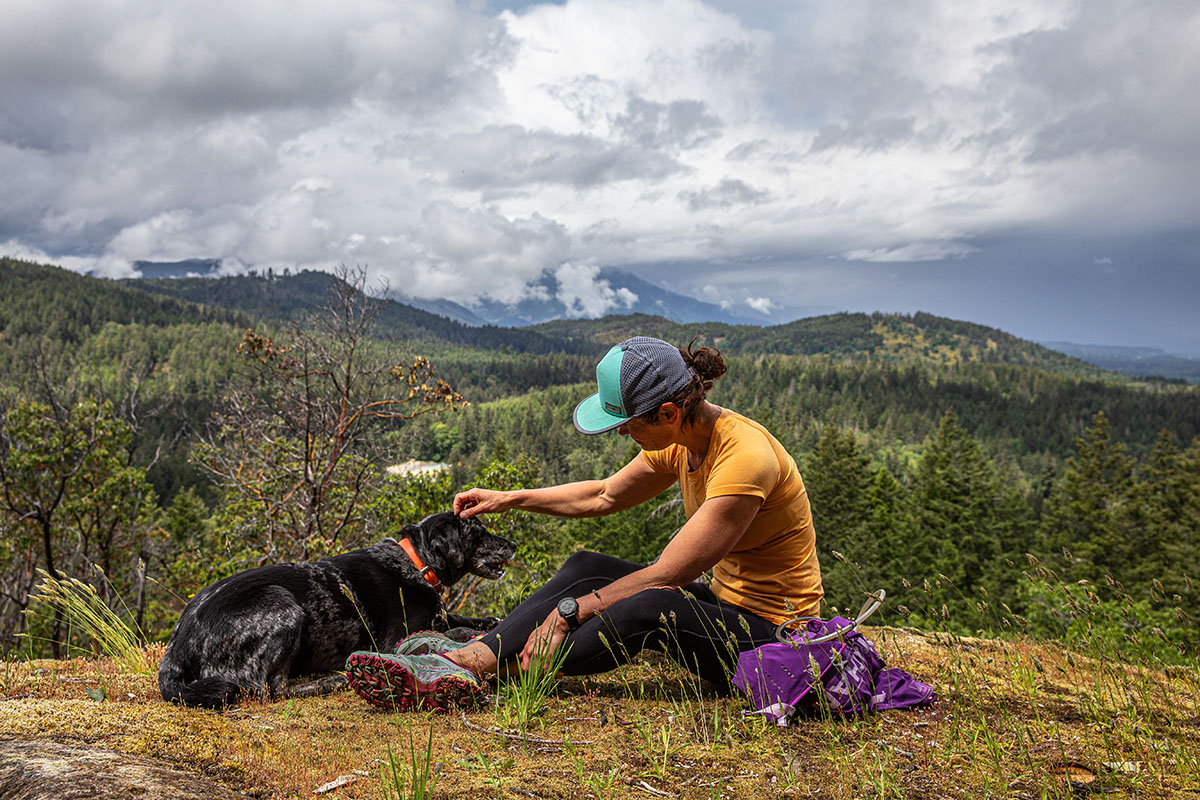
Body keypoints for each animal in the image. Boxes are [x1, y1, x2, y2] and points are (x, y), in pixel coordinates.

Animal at [159, 513, 516, 705]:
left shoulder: (437, 614)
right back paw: (332, 681)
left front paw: (489, 620)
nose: (513, 544)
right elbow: (456, 629)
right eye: (478, 532)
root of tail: (178, 647)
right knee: (269, 688)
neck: (418, 562)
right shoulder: (397, 639)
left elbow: (459, 617)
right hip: (282, 606)